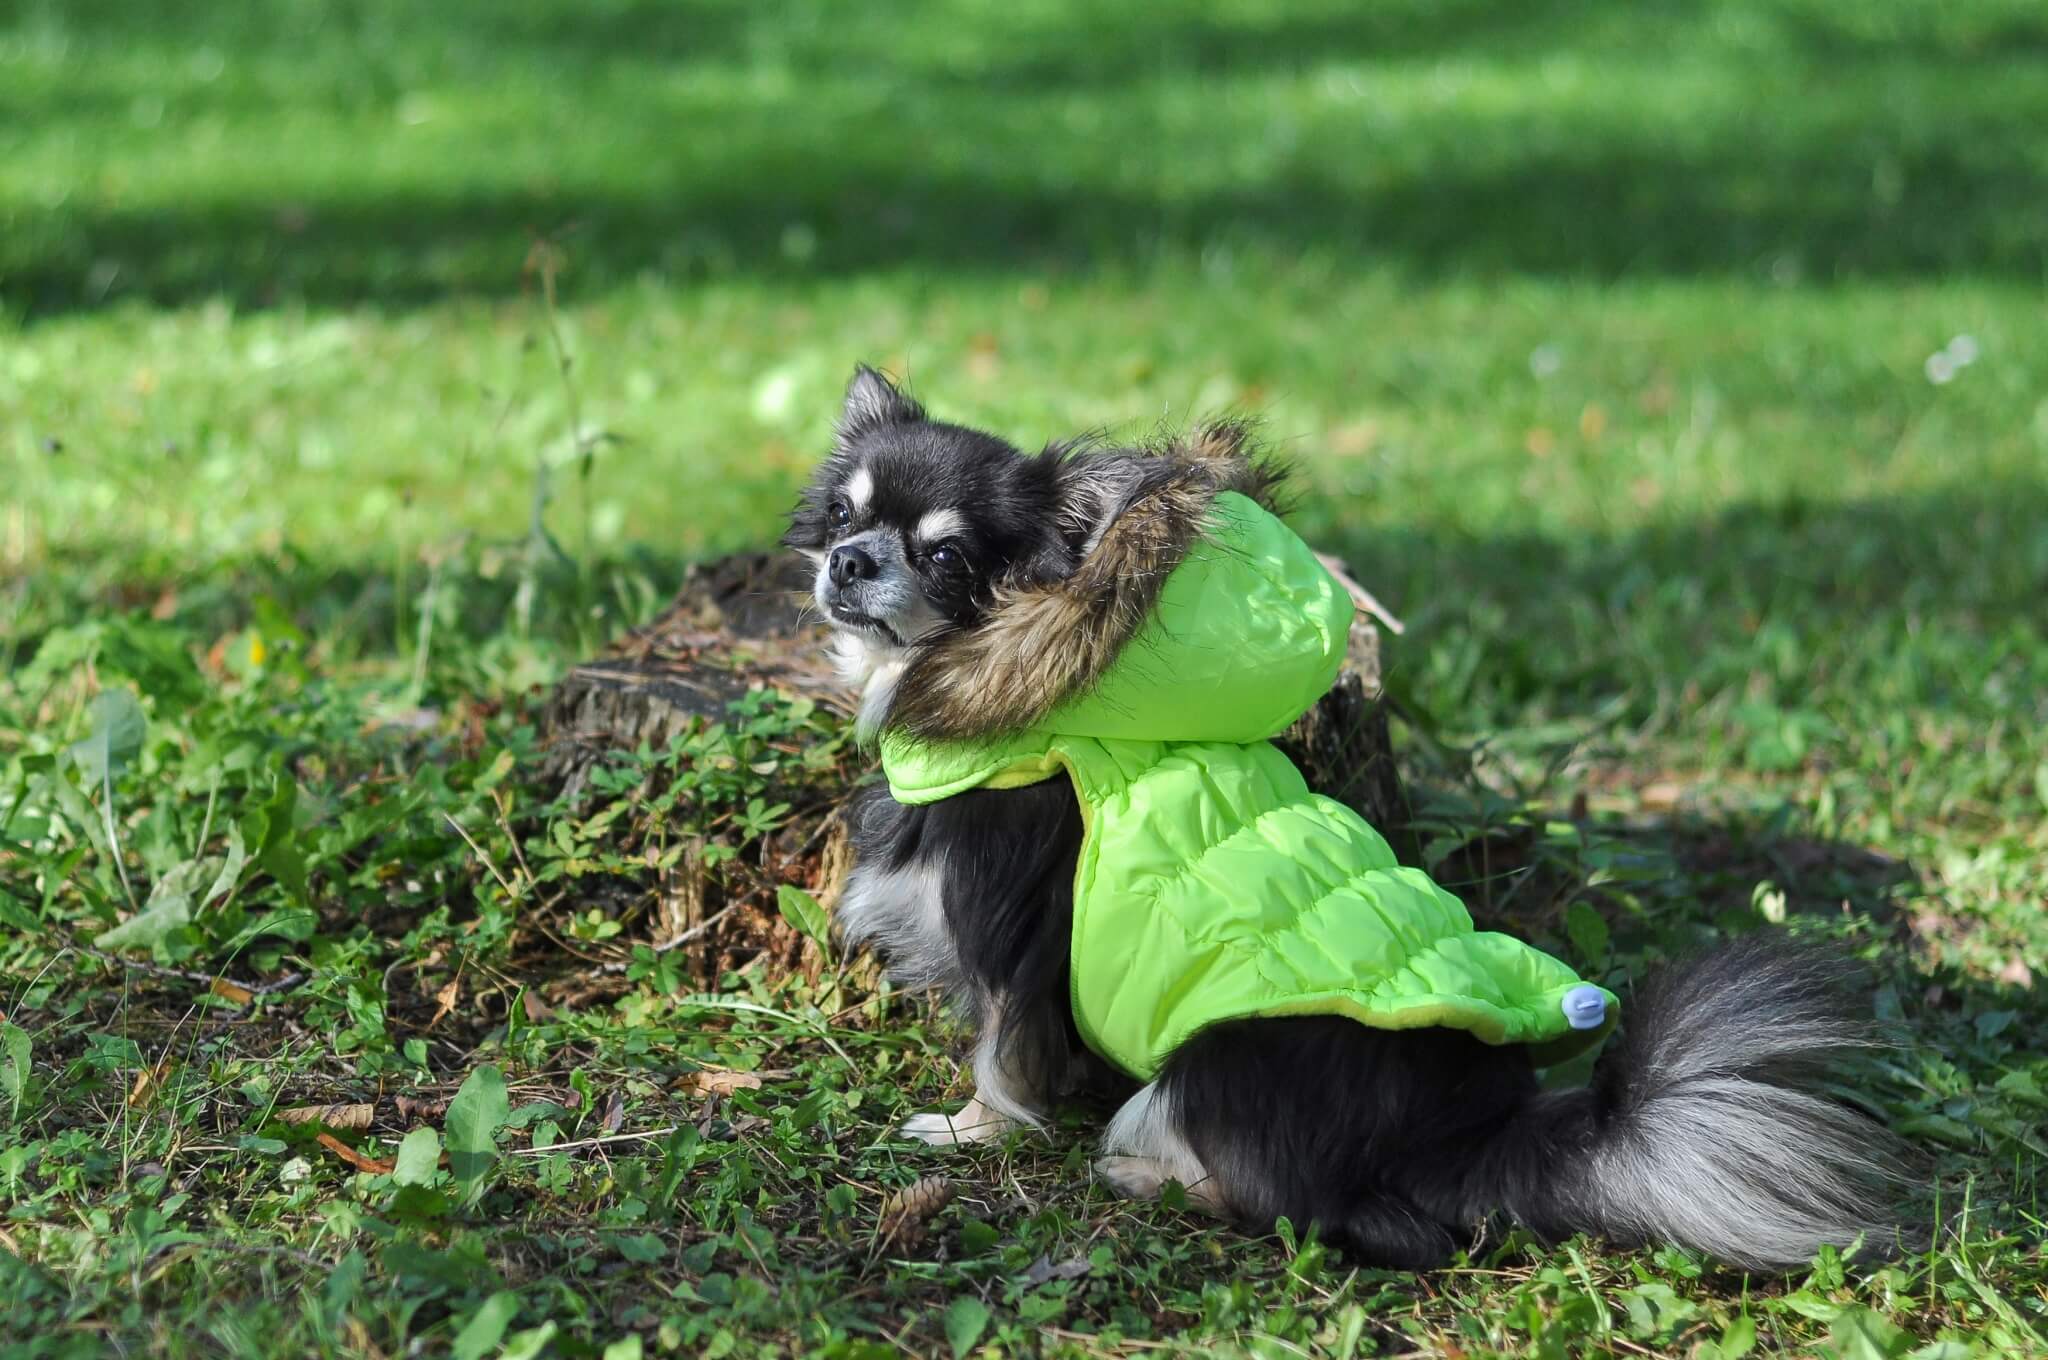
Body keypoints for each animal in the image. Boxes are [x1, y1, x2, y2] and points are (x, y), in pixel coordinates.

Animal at [782, 366, 1900, 1269]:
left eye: (946, 559)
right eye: (841, 516)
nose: (850, 560)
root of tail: (1480, 1134)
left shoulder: (1012, 938)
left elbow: (1004, 1049)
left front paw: (970, 1131)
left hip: (1216, 1059)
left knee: (1329, 1215)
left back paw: (1148, 1174)